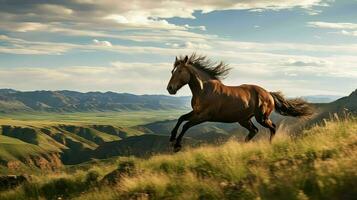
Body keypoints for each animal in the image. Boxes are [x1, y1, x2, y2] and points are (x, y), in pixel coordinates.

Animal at [165, 53, 310, 152]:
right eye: (172, 71)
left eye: (180, 71)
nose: (170, 88)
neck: (204, 89)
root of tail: (268, 94)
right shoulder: (196, 112)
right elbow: (181, 118)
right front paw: (172, 137)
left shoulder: (205, 116)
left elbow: (186, 125)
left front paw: (177, 145)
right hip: (244, 119)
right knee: (254, 131)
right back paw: (242, 146)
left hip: (261, 117)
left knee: (272, 127)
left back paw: (269, 145)